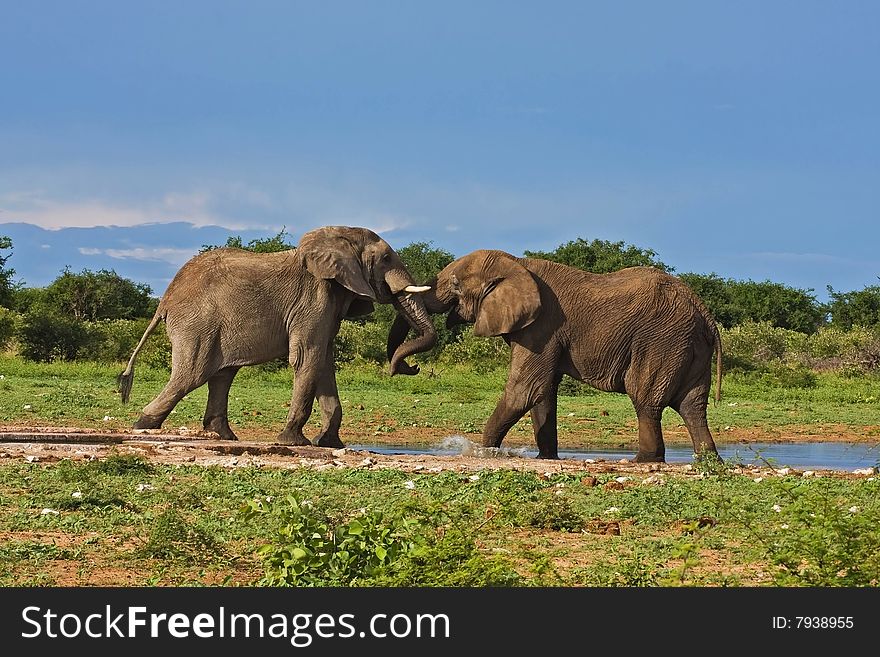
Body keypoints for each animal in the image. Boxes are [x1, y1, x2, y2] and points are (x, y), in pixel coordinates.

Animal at [117, 226, 436, 446]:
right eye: (386, 258)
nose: (412, 367)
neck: (337, 236)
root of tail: (166, 299)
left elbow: (323, 361)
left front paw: (330, 444)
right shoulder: (314, 299)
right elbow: (308, 358)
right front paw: (295, 442)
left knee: (221, 374)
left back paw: (224, 436)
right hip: (197, 324)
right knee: (191, 375)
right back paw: (143, 426)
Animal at [388, 250, 720, 462]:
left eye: (456, 284)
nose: (409, 368)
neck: (516, 264)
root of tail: (705, 313)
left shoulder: (543, 326)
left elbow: (525, 389)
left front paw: (482, 452)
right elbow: (543, 391)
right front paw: (545, 457)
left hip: (661, 341)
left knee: (645, 399)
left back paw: (643, 460)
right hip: (689, 345)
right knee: (692, 405)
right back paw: (707, 459)